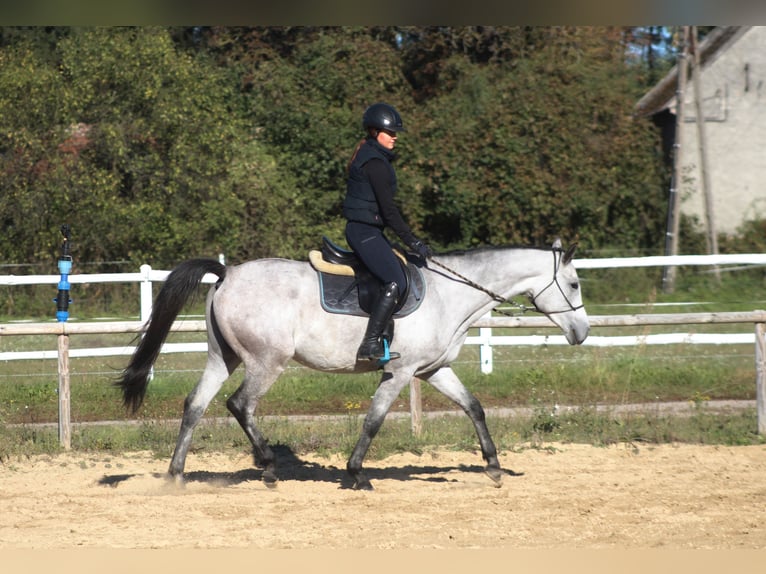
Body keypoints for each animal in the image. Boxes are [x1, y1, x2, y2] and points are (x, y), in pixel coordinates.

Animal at [117, 238, 592, 490]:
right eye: (573, 283)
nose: (582, 333)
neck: (448, 293)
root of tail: (227, 273)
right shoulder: (400, 372)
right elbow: (374, 420)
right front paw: (357, 473)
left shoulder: (432, 370)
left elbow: (474, 406)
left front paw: (493, 467)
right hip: (266, 362)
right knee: (240, 406)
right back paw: (267, 466)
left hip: (224, 359)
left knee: (194, 406)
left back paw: (176, 475)